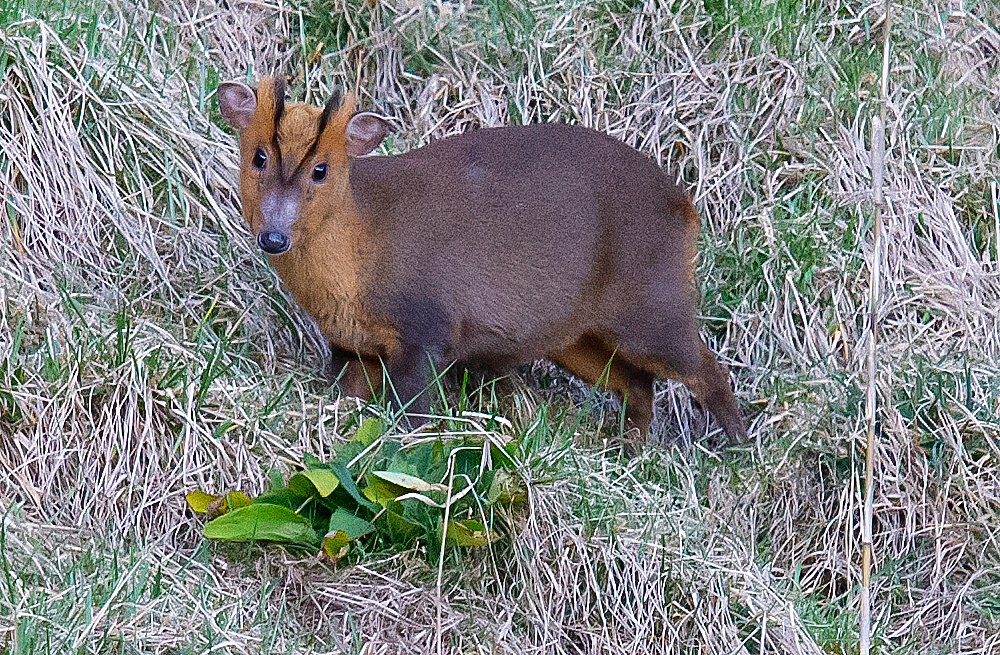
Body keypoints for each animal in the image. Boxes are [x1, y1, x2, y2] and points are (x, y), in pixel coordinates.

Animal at [221, 75, 752, 446]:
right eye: (259, 156)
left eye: (321, 169)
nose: (273, 237)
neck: (357, 254)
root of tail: (687, 208)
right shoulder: (353, 346)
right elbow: (349, 396)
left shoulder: (427, 326)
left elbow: (413, 415)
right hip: (575, 335)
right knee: (638, 384)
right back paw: (626, 450)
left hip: (650, 302)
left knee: (706, 368)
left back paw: (739, 450)